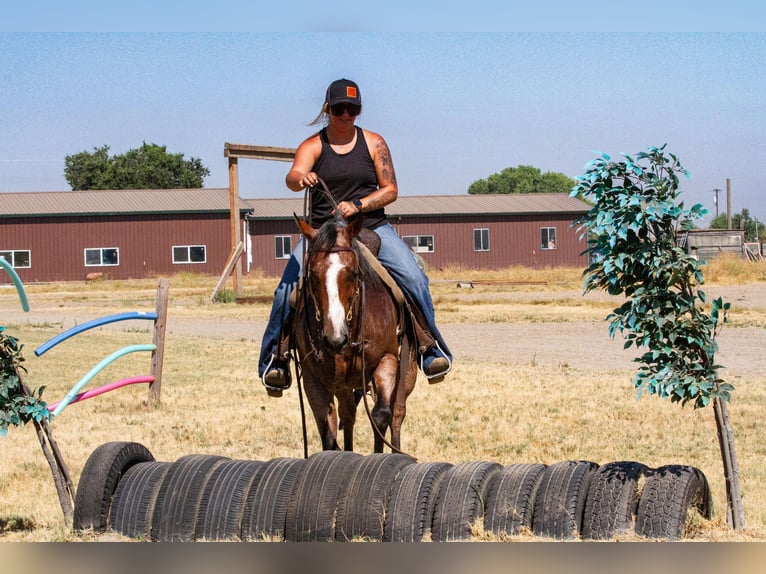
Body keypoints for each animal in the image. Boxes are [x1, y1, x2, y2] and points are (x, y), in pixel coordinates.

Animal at [292, 212, 418, 453]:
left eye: (352, 273)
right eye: (313, 275)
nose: (335, 338)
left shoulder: (387, 360)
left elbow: (381, 416)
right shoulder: (314, 378)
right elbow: (328, 428)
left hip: (406, 371)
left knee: (397, 413)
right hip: (342, 383)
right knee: (348, 414)